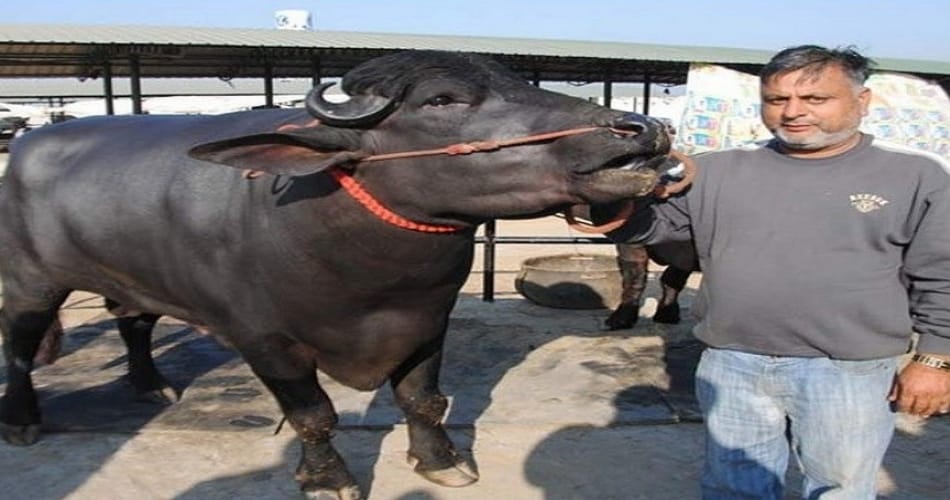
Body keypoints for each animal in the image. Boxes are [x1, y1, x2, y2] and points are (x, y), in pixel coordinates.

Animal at [0, 50, 671, 499]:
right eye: (441, 101)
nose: (642, 127)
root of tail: (28, 147)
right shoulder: (264, 340)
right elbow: (314, 414)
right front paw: (329, 480)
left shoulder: (427, 320)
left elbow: (422, 399)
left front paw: (442, 460)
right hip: (30, 284)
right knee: (21, 348)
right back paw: (23, 420)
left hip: (129, 275)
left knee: (134, 323)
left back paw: (149, 386)